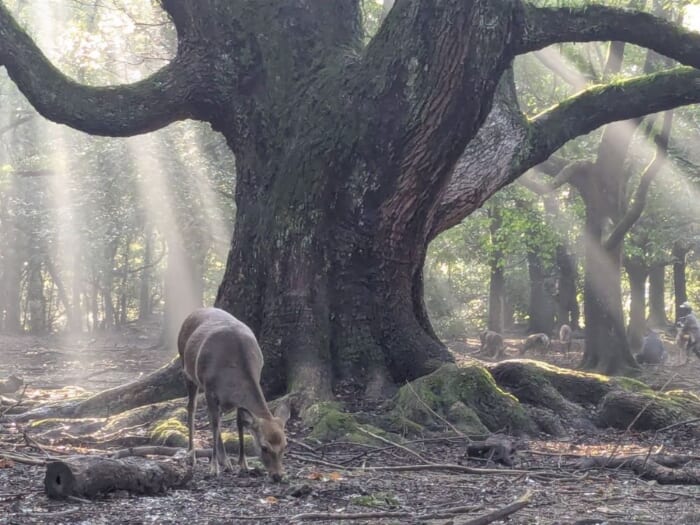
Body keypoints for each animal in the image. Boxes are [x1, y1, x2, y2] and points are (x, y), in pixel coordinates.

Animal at [180, 304, 292, 482]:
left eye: (284, 446)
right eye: (264, 447)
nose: (278, 476)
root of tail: (194, 312)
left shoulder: (240, 400)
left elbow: (239, 423)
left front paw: (243, 464)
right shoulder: (210, 389)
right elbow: (214, 424)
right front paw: (213, 469)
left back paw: (225, 461)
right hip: (186, 369)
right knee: (192, 408)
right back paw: (192, 455)